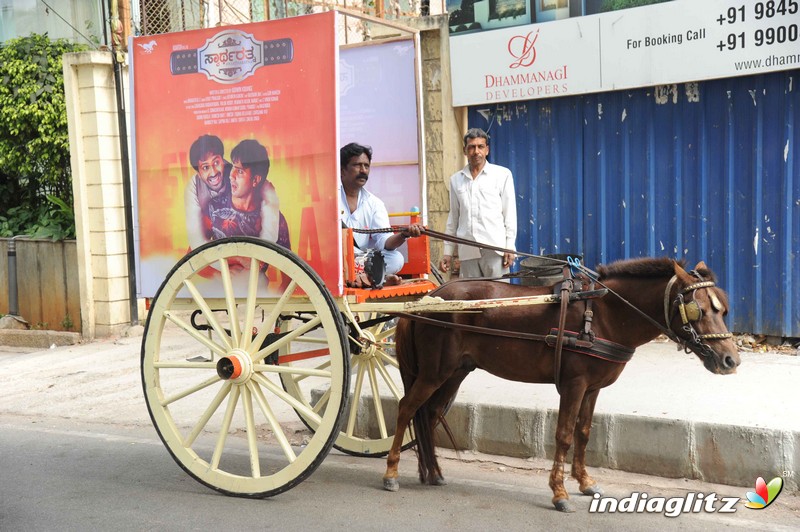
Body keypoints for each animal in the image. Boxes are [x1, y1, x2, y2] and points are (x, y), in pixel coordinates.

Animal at [384, 258, 740, 512]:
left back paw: (432, 472)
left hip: (454, 372)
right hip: (434, 372)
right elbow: (565, 435)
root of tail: (428, 299)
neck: (605, 314)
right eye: (698, 310)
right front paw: (559, 492)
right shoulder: (574, 384)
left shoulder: (593, 388)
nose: (730, 360)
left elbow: (583, 432)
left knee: (429, 414)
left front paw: (585, 482)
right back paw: (391, 473)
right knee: (406, 409)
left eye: (723, 309)